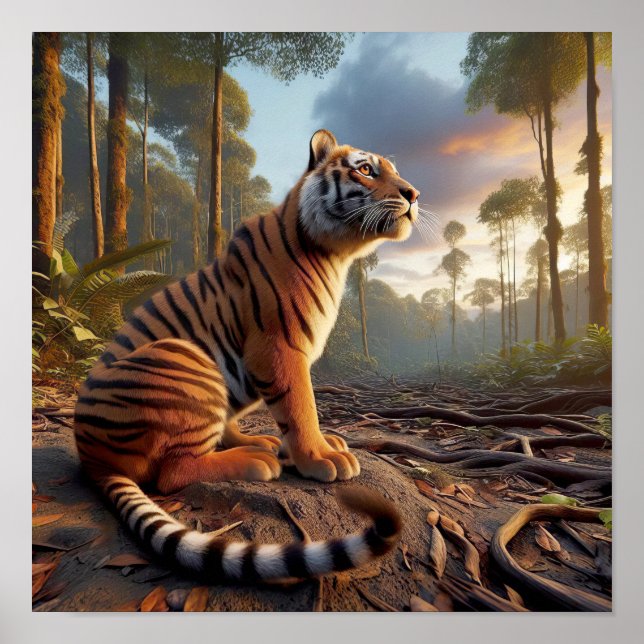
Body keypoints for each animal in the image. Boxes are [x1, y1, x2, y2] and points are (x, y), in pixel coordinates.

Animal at [74, 129, 420, 584]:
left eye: (394, 170)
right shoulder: (279, 348)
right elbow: (301, 407)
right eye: (365, 169)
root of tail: (91, 457)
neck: (335, 253)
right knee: (172, 472)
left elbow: (296, 411)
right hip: (183, 355)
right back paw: (256, 460)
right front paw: (322, 457)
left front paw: (319, 445)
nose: (414, 194)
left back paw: (258, 442)